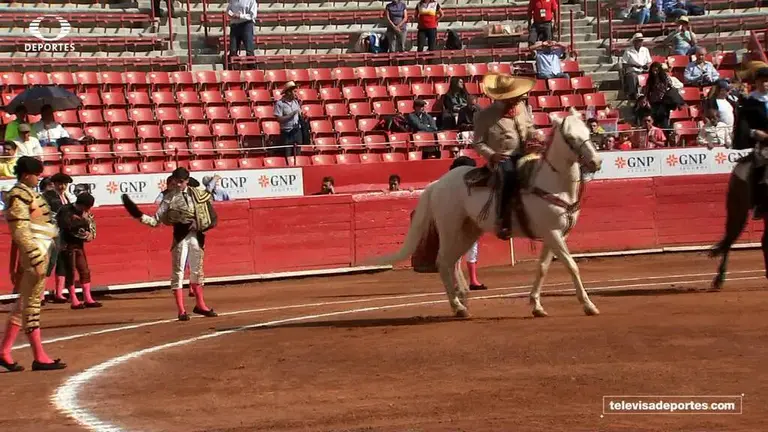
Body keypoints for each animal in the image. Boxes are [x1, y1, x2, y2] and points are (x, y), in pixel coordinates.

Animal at [370, 108, 600, 318]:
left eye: (587, 131)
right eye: (570, 137)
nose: (596, 162)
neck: (554, 183)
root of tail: (437, 184)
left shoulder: (556, 234)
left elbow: (543, 267)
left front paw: (536, 304)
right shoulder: (552, 232)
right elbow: (571, 265)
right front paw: (588, 305)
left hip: (469, 231)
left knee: (453, 261)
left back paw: (463, 299)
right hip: (449, 228)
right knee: (443, 261)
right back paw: (458, 307)